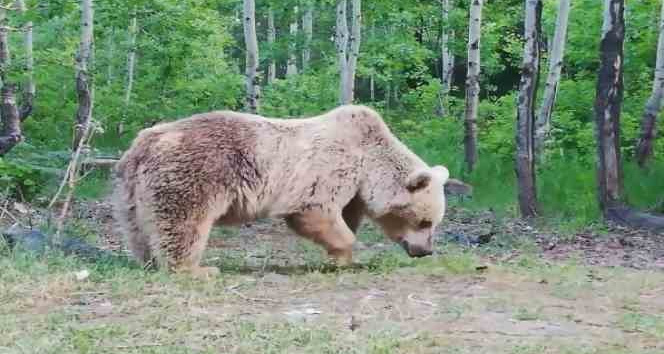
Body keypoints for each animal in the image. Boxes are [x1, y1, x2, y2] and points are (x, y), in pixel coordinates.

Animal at [114, 105, 454, 280]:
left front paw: (339, 257)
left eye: (434, 223)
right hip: (196, 174)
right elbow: (314, 210)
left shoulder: (354, 189)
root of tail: (143, 144)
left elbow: (345, 215)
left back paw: (148, 260)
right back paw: (197, 269)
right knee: (185, 223)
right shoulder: (327, 168)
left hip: (129, 190)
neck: (368, 160)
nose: (425, 251)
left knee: (139, 227)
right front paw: (345, 253)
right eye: (424, 222)